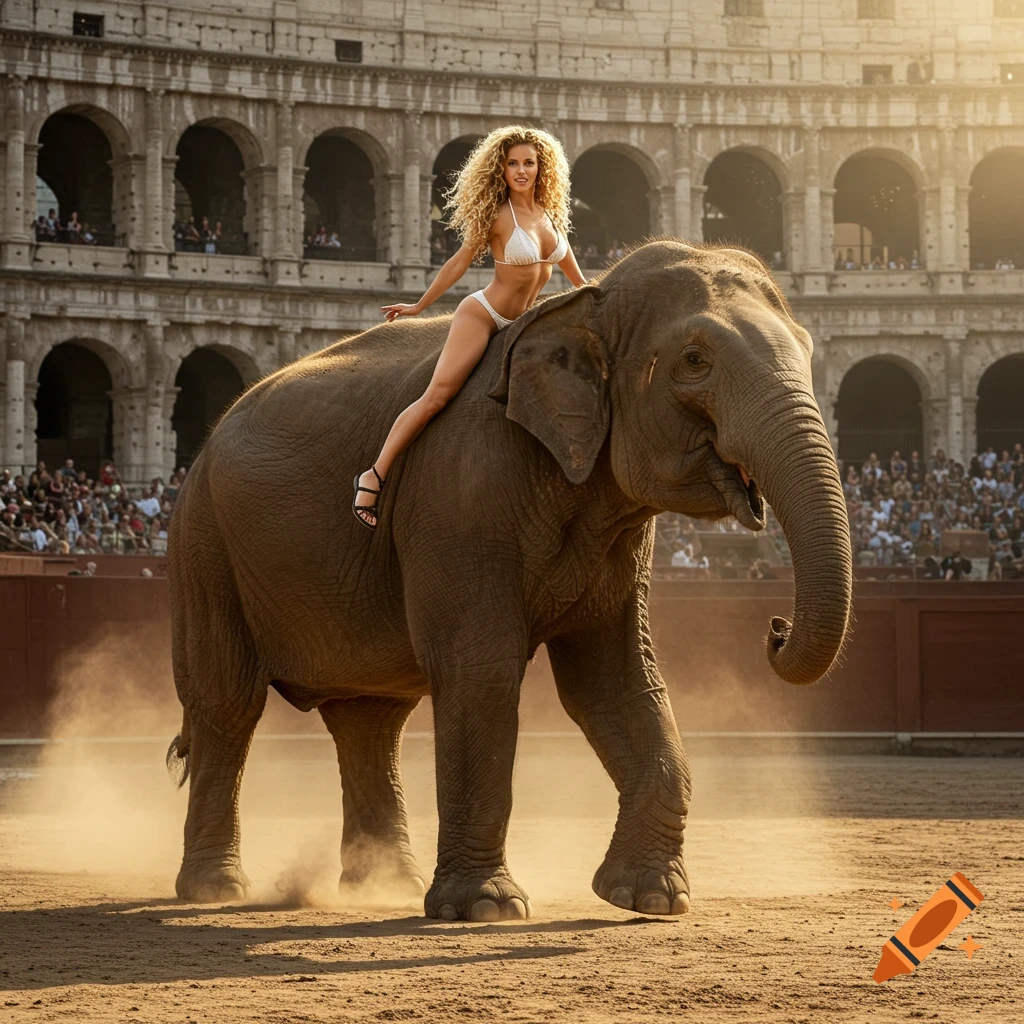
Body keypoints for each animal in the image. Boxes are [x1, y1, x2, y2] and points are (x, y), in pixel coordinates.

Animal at [166, 240, 852, 921]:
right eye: (694, 360)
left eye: (809, 350)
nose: (775, 625)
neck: (585, 306)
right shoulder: (461, 491)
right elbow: (481, 671)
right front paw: (485, 910)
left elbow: (617, 683)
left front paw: (651, 899)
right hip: (204, 547)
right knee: (227, 703)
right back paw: (216, 891)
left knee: (369, 718)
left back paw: (383, 887)